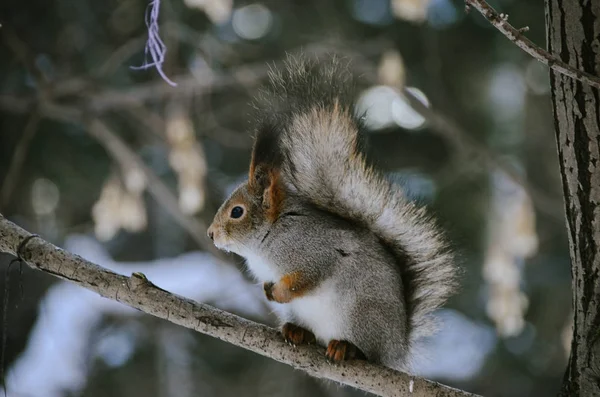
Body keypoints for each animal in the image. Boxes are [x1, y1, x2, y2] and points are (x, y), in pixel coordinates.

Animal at [206, 54, 454, 370]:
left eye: (237, 212)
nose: (211, 234)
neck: (269, 237)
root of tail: (397, 347)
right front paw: (266, 289)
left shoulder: (315, 251)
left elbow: (306, 280)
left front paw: (278, 292)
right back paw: (297, 331)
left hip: (362, 314)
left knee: (366, 350)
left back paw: (347, 348)